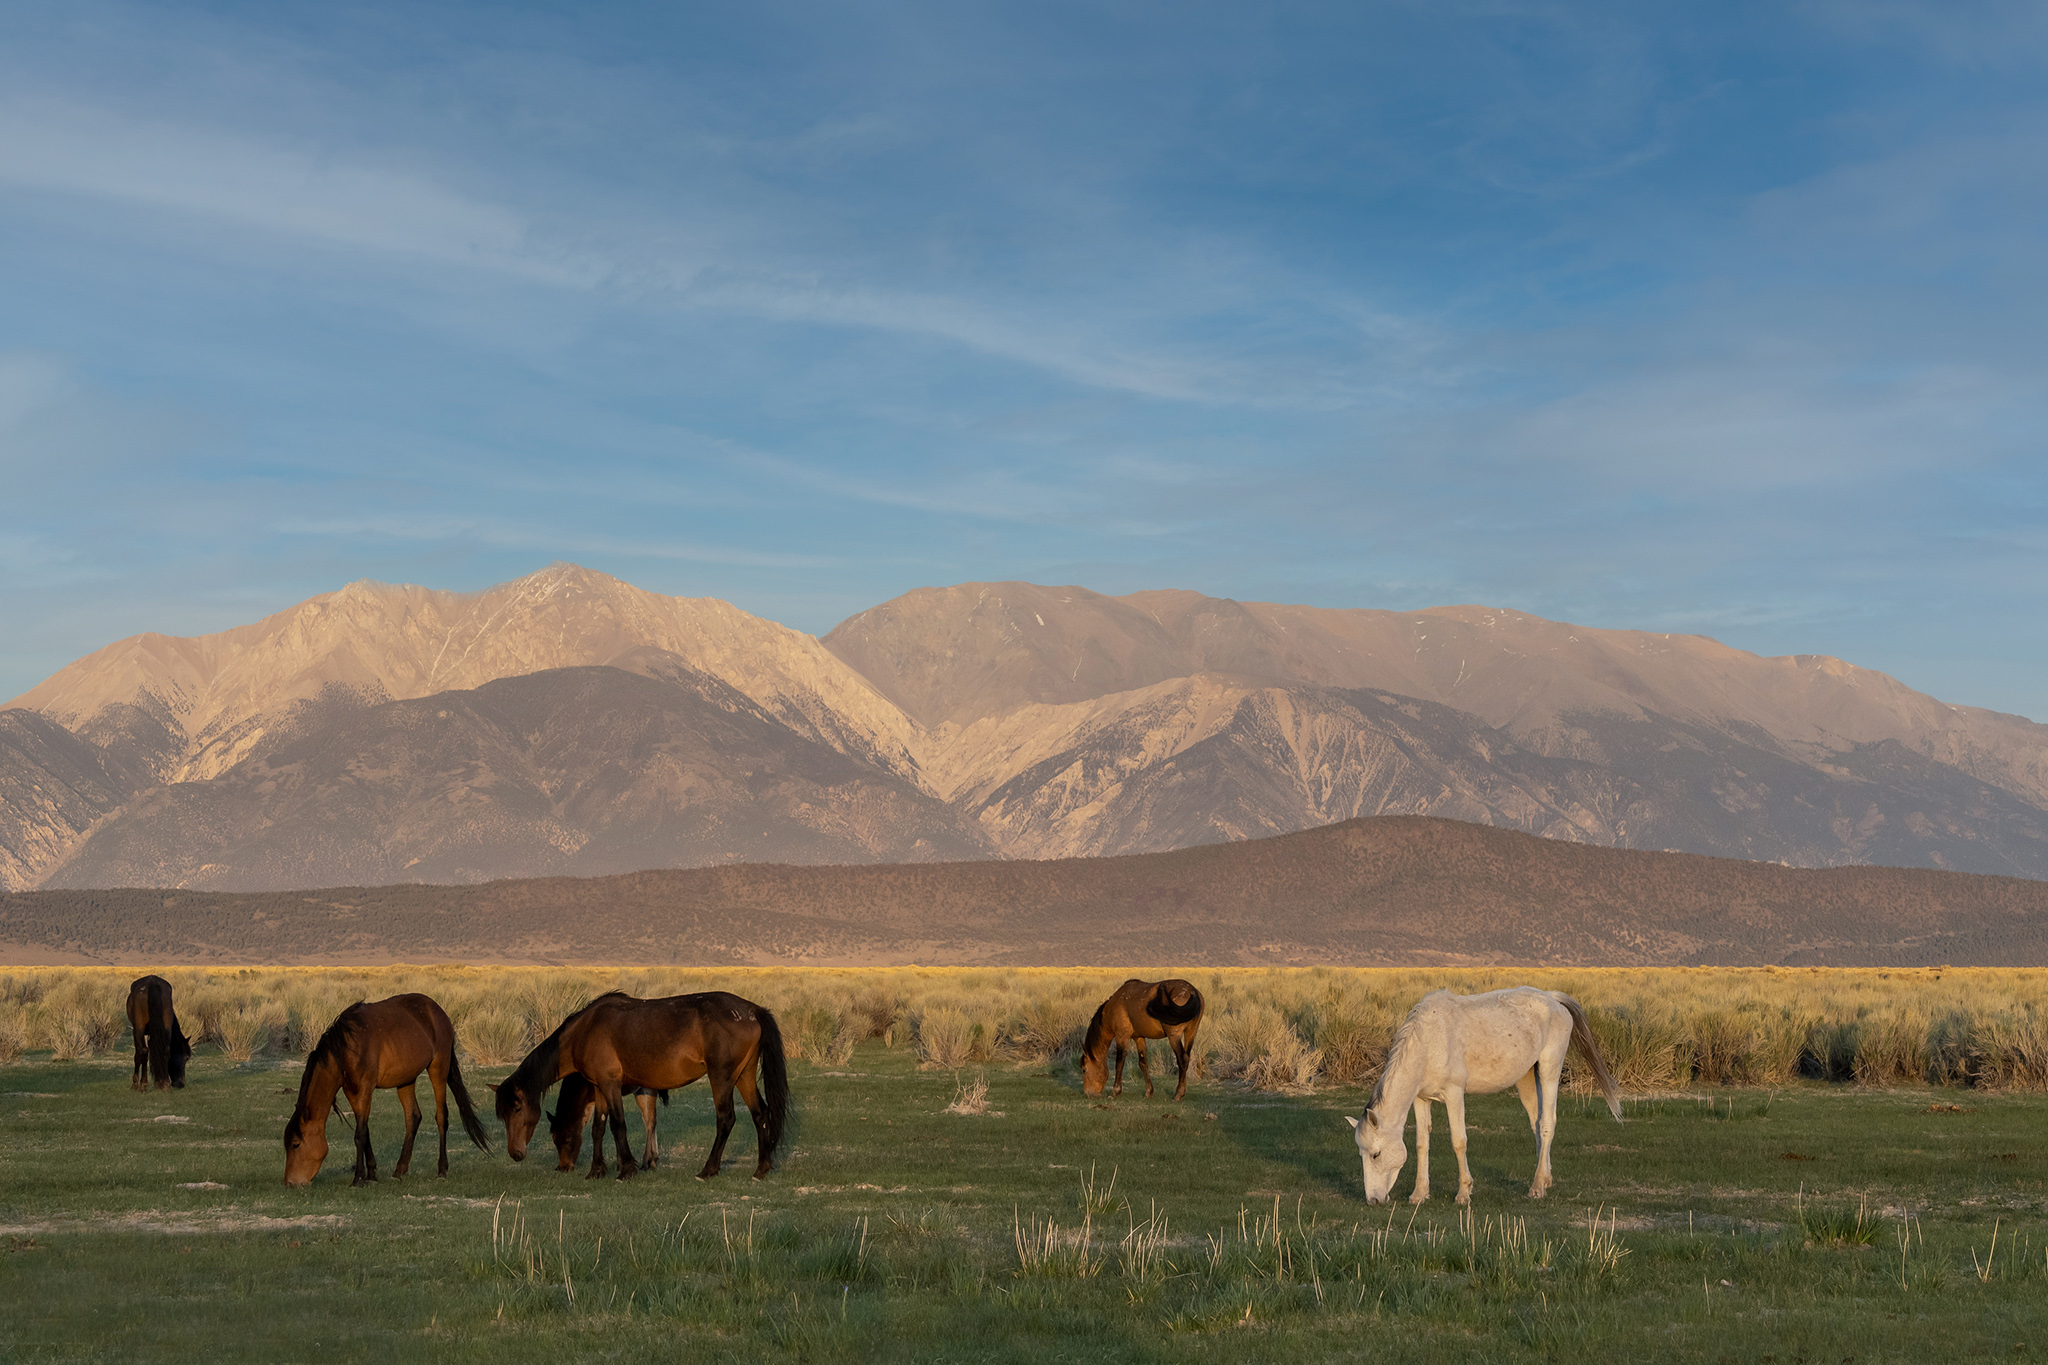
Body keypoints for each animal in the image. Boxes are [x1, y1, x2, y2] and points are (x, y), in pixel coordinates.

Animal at [283, 994, 491, 1187]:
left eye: (295, 1144)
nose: (290, 1183)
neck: (346, 1049)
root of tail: (439, 1011)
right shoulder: (352, 1091)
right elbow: (365, 1131)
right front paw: (371, 1174)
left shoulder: (365, 1089)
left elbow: (359, 1135)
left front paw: (358, 1178)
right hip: (406, 1080)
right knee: (413, 1117)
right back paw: (399, 1170)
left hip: (438, 1068)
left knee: (441, 1117)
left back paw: (441, 1170)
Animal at [493, 991, 788, 1181]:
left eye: (516, 1109)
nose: (515, 1153)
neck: (585, 1030)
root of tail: (751, 1011)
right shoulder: (599, 1087)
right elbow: (598, 1128)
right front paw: (597, 1171)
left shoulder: (611, 1084)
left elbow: (617, 1125)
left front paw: (626, 1169)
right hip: (744, 1076)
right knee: (760, 1114)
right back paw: (761, 1169)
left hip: (722, 1077)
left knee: (726, 1119)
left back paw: (708, 1170)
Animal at [1345, 987, 1622, 1206]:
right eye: (1361, 1154)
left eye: (1376, 1154)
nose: (1373, 1200)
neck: (1430, 1040)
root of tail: (1552, 998)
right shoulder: (1421, 1099)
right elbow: (1422, 1143)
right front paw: (1419, 1194)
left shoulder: (1454, 1094)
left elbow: (1459, 1141)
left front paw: (1463, 1193)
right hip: (1526, 1079)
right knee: (1536, 1121)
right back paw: (1545, 1178)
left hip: (1549, 1070)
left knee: (1546, 1124)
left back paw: (1537, 1187)